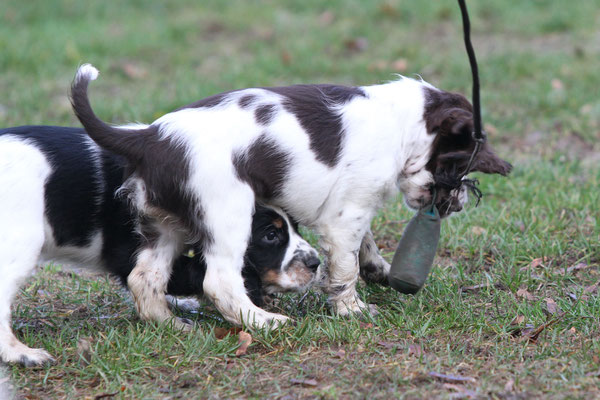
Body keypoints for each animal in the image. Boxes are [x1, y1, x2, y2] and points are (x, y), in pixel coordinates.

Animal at [0, 126, 322, 368]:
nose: (315, 264)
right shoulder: (131, 250)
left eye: (295, 227)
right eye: (270, 235)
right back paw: (21, 353)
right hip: (20, 241)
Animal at [70, 65, 510, 328]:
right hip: (228, 215)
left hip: (164, 225)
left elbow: (363, 248)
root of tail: (148, 138)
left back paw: (172, 323)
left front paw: (380, 272)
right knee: (219, 280)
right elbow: (344, 267)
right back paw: (263, 321)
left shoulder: (352, 207)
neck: (402, 127)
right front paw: (352, 310)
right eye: (458, 164)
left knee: (144, 278)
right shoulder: (345, 216)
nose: (459, 203)